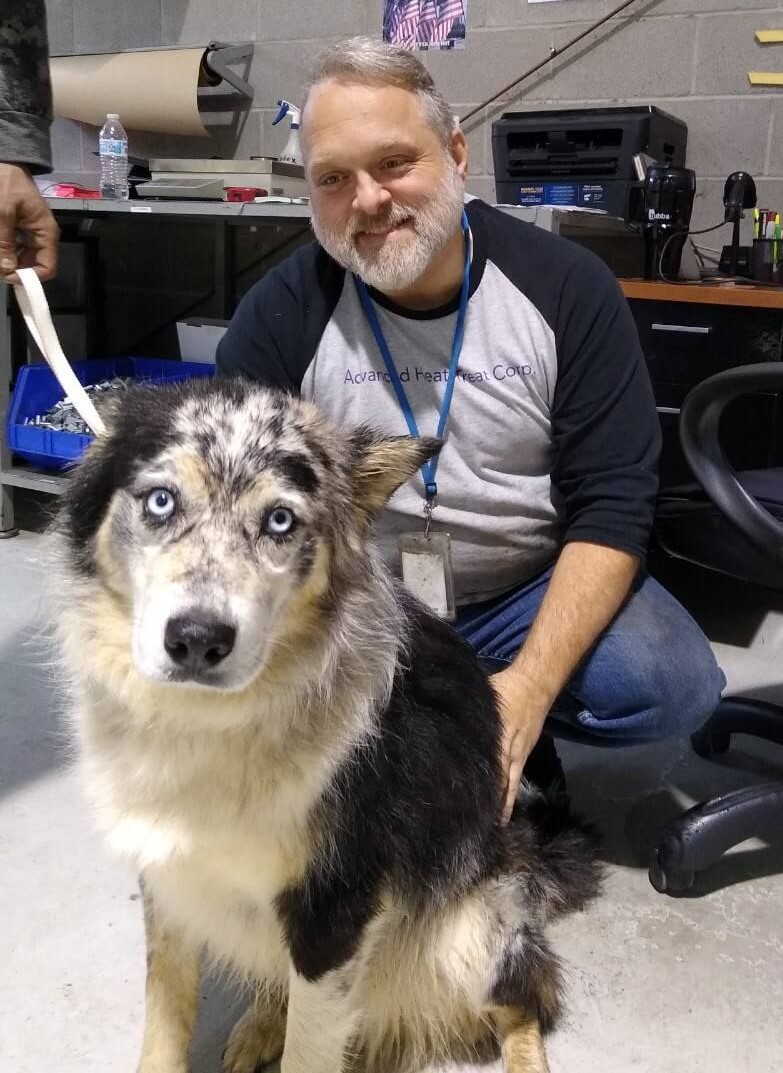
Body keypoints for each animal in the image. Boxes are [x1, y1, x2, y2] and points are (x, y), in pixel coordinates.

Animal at [54, 379, 596, 1073]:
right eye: (161, 500)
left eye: (280, 521)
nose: (197, 640)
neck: (209, 724)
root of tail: (528, 852)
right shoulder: (168, 883)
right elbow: (163, 1026)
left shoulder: (333, 914)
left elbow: (308, 1051)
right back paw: (259, 1026)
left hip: (470, 935)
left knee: (525, 997)